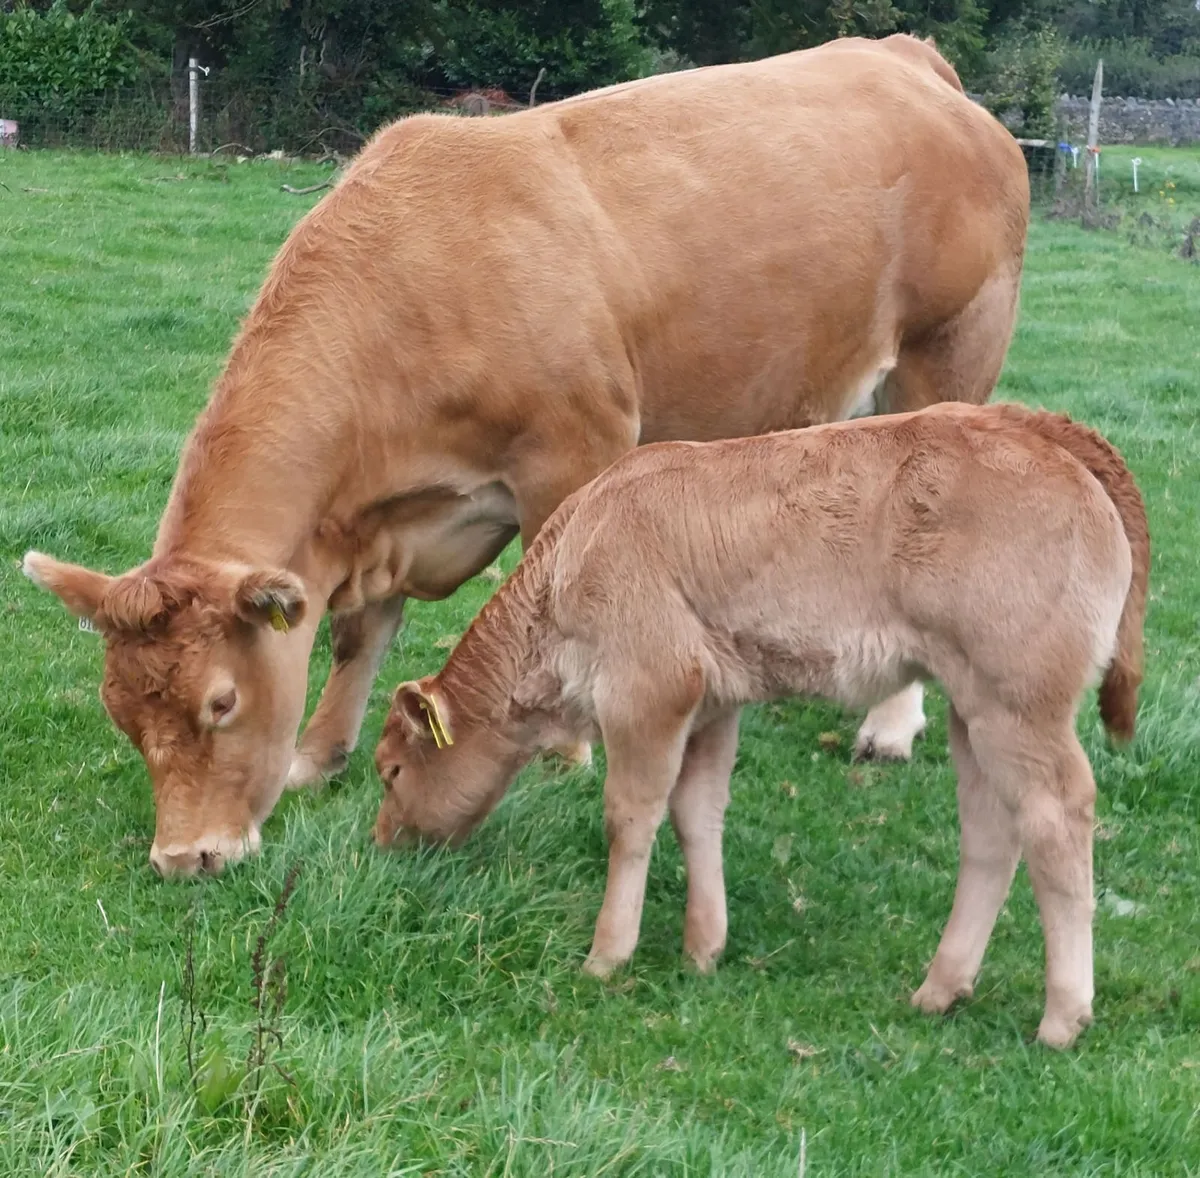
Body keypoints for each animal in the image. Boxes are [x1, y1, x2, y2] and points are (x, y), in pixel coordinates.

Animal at [21, 33, 1029, 877]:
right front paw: (317, 755)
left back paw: (891, 727)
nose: (184, 857)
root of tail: (902, 55)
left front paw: (569, 753)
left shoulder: (574, 454)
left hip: (949, 352)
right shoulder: (381, 519)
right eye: (121, 713)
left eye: (222, 703)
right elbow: (358, 634)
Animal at [372, 403, 1150, 1049]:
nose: (381, 841)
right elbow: (697, 810)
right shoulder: (713, 702)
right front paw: (703, 946)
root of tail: (1030, 424)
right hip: (973, 707)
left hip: (1018, 703)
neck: (575, 556)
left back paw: (1062, 1016)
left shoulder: (645, 687)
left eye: (392, 772)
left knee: (1056, 817)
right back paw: (940, 988)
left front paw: (607, 955)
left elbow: (631, 816)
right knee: (991, 829)